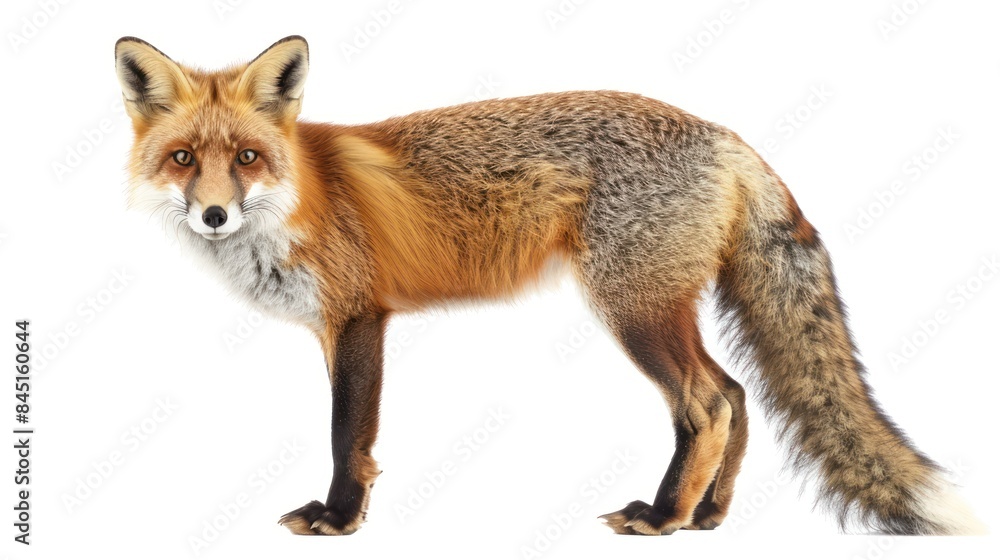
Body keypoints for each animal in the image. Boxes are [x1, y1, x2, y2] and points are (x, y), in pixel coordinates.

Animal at [114, 35, 985, 536]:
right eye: (184, 159)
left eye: (248, 157)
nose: (216, 215)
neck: (298, 196)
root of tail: (724, 135)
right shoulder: (339, 327)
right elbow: (355, 437)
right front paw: (347, 512)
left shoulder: (360, 316)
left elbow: (345, 434)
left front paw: (338, 519)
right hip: (661, 307)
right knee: (737, 396)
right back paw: (710, 514)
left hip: (632, 309)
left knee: (705, 404)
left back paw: (663, 517)